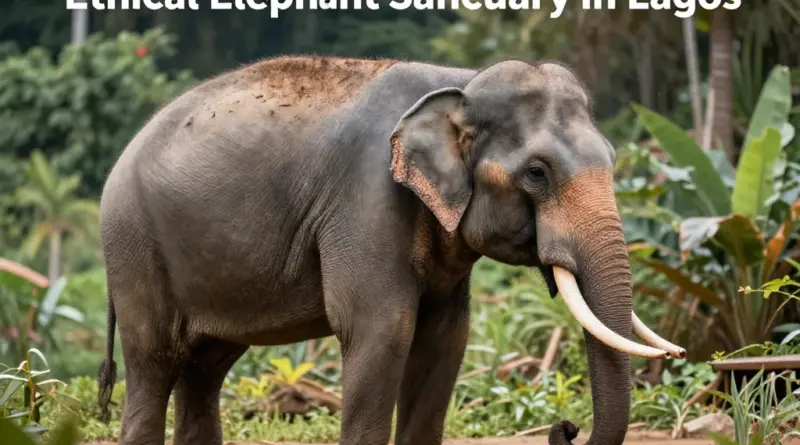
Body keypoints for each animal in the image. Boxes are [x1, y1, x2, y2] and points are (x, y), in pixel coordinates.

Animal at [96, 55, 685, 445]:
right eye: (537, 173)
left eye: (613, 157)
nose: (565, 429)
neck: (460, 84)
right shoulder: (365, 201)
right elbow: (382, 330)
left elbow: (445, 338)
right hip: (134, 243)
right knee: (154, 361)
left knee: (205, 368)